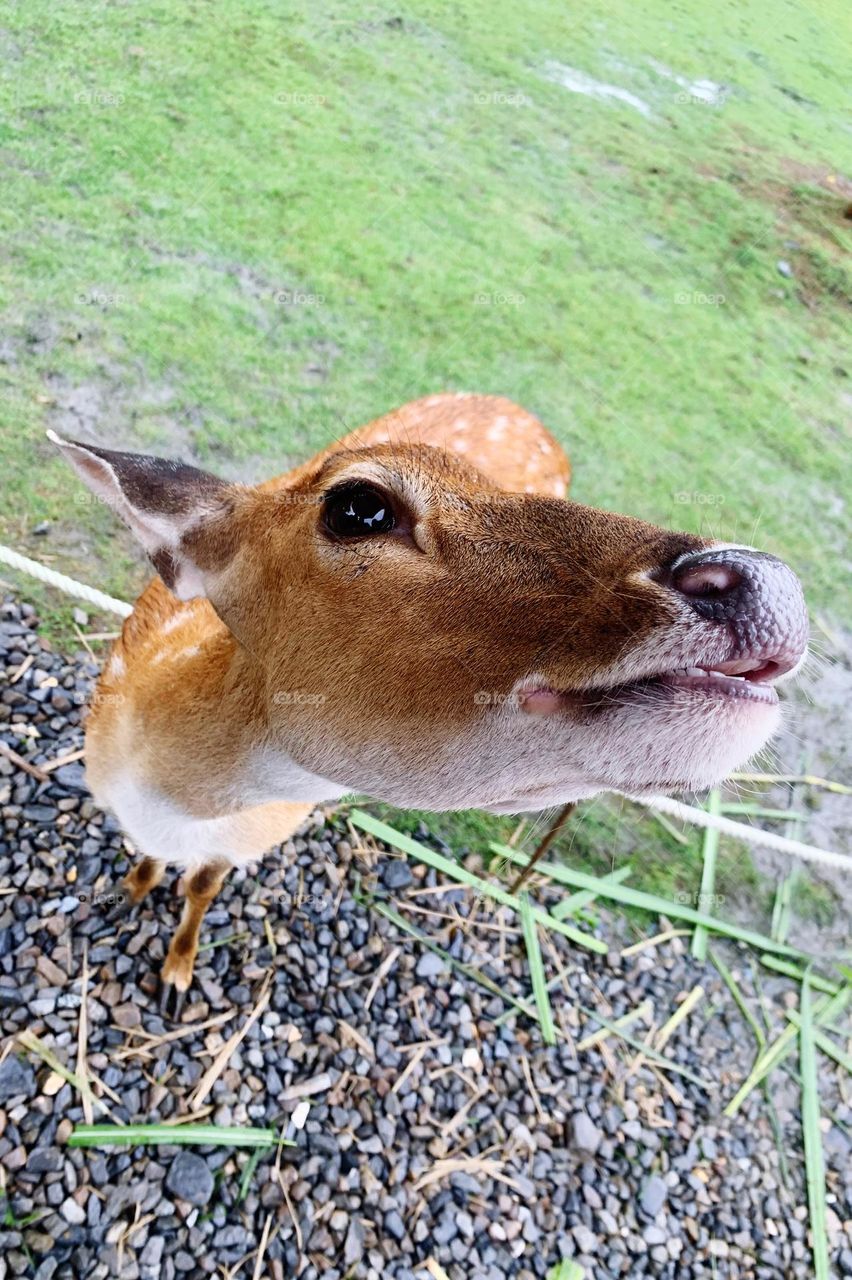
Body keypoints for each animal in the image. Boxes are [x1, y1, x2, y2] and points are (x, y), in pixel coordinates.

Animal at [49, 392, 808, 1015]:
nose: (770, 585)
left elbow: (201, 890)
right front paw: (128, 892)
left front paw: (176, 974)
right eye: (358, 505)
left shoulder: (252, 840)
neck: (169, 802)